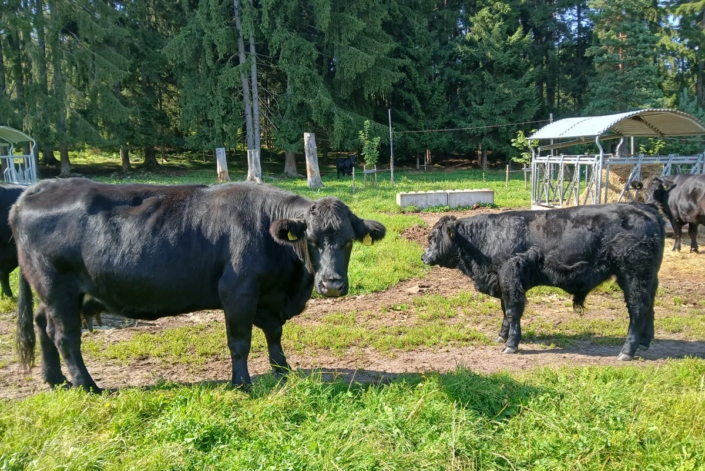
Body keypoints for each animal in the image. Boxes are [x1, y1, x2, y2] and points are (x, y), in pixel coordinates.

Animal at [12, 179, 385, 392]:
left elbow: (274, 336)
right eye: (312, 240)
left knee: (43, 326)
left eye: (348, 241)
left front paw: (283, 373)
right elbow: (240, 342)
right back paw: (87, 386)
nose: (332, 284)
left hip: (50, 295)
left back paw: (55, 380)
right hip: (58, 289)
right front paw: (242, 384)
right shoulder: (238, 292)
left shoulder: (269, 297)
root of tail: (34, 191)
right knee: (65, 337)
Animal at [422, 203, 665, 361]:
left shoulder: (510, 279)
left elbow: (512, 311)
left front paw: (511, 344)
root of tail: (647, 209)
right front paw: (502, 336)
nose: (424, 257)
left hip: (634, 276)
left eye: (433, 237)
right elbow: (504, 310)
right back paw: (644, 343)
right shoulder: (503, 282)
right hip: (646, 279)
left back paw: (627, 351)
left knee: (637, 310)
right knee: (649, 307)